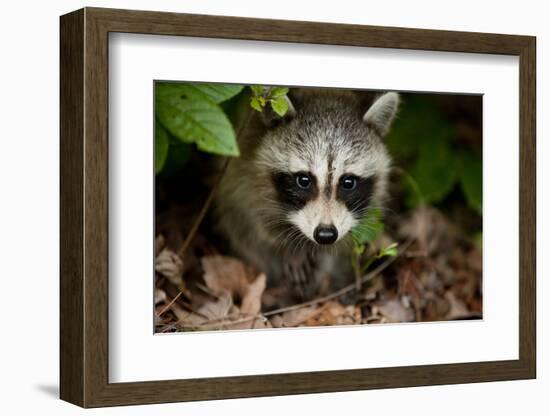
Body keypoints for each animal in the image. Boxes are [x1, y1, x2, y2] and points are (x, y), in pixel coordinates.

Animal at [213, 88, 398, 302]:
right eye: (303, 180)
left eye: (348, 182)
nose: (325, 235)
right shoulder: (247, 172)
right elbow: (258, 216)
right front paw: (291, 249)